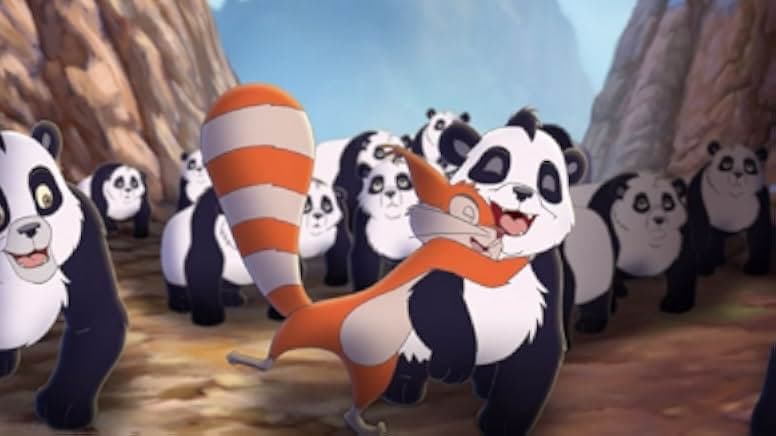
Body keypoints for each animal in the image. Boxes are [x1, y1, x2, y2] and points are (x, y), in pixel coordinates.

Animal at [160, 187, 253, 326]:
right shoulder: (206, 229)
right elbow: (203, 270)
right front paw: (209, 319)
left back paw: (231, 297)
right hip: (171, 263)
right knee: (176, 287)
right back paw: (182, 304)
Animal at [383, 108, 585, 435]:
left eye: (548, 180)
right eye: (495, 165)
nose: (523, 192)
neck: (496, 253)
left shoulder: (545, 278)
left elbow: (537, 354)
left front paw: (501, 424)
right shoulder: (444, 250)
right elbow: (432, 303)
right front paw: (450, 366)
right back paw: (401, 390)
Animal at [565, 172, 697, 334]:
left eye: (668, 203)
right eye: (641, 203)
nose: (659, 220)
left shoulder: (679, 236)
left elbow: (682, 269)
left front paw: (676, 305)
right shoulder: (608, 230)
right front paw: (591, 322)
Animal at [686, 141, 771, 276]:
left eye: (749, 166)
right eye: (726, 163)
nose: (738, 174)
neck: (733, 196)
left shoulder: (759, 201)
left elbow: (760, 233)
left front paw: (755, 268)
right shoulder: (700, 196)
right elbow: (701, 232)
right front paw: (704, 267)